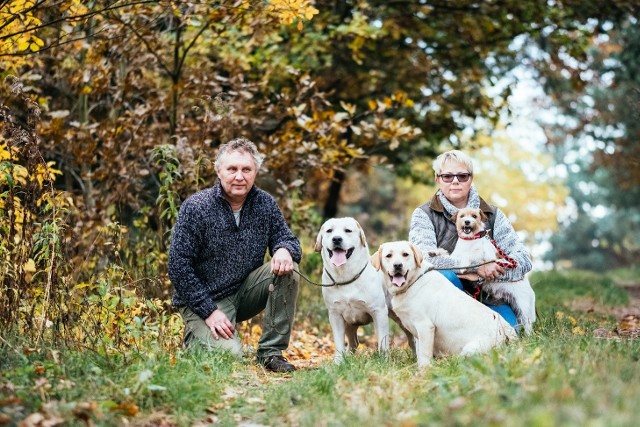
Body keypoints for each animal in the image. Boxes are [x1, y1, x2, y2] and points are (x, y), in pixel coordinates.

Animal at [370, 241, 516, 368]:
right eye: (388, 256)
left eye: (405, 254)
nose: (397, 265)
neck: (413, 282)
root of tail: (508, 333)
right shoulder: (417, 332)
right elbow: (419, 353)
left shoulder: (425, 327)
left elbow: (424, 355)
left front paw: (423, 371)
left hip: (470, 350)